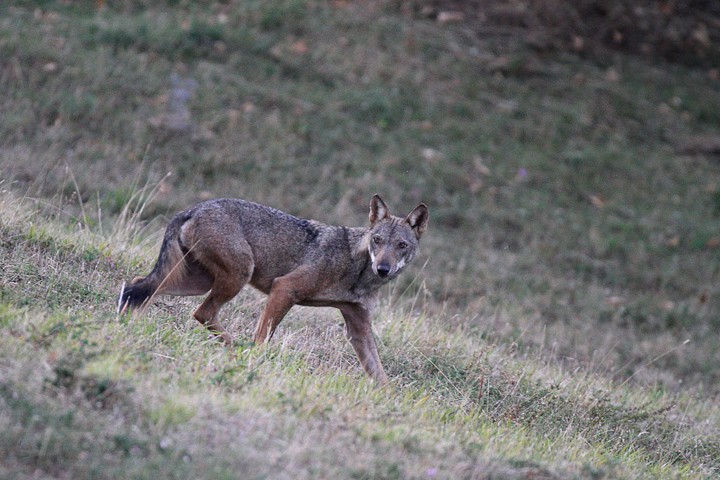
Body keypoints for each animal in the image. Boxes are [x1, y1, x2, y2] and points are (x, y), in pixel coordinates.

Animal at [117, 194, 428, 382]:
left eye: (401, 245)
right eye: (377, 240)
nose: (383, 268)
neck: (357, 270)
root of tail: (193, 208)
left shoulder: (358, 327)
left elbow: (380, 375)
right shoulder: (284, 289)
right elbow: (261, 339)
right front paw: (254, 362)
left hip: (196, 283)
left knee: (138, 286)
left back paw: (127, 325)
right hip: (234, 278)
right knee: (200, 313)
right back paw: (235, 348)